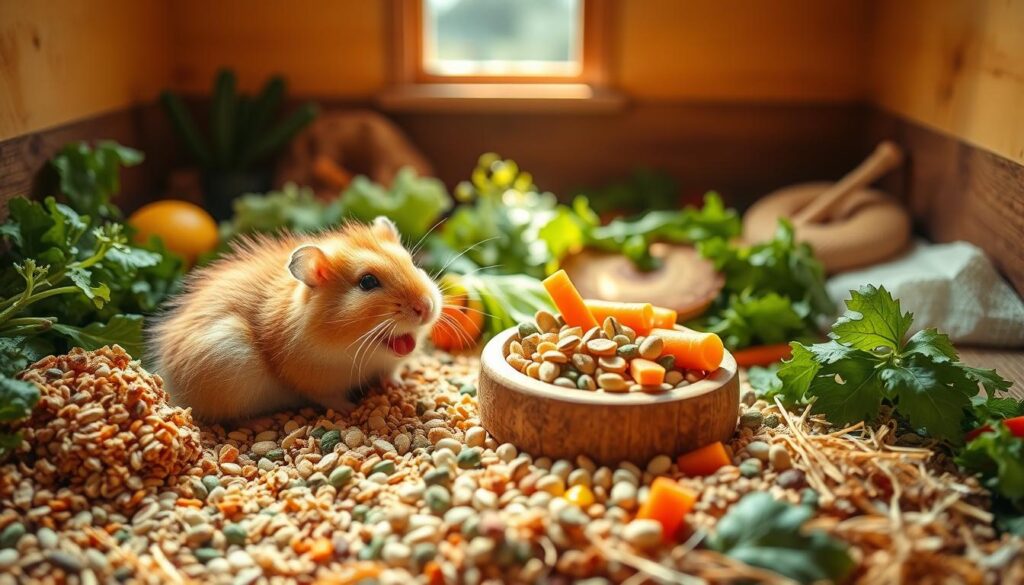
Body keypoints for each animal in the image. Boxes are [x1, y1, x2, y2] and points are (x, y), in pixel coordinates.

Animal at [149, 216, 442, 421]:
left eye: (413, 263)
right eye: (367, 282)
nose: (426, 307)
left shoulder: (387, 365)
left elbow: (391, 373)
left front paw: (399, 384)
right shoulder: (315, 381)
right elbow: (332, 398)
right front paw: (352, 408)